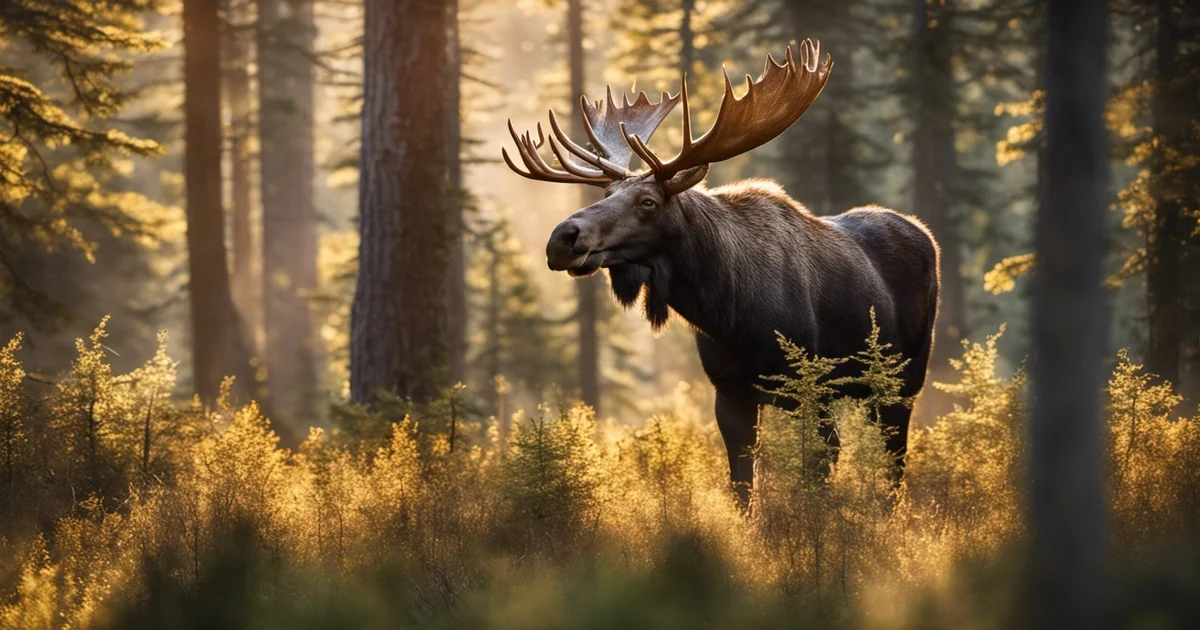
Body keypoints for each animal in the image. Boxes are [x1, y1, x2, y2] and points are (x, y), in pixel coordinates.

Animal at [501, 39, 940, 501]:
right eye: (606, 193)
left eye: (648, 201)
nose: (562, 238)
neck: (729, 313)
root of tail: (925, 234)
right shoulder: (729, 390)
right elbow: (742, 484)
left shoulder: (810, 385)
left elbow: (817, 471)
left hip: (905, 378)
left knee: (895, 458)